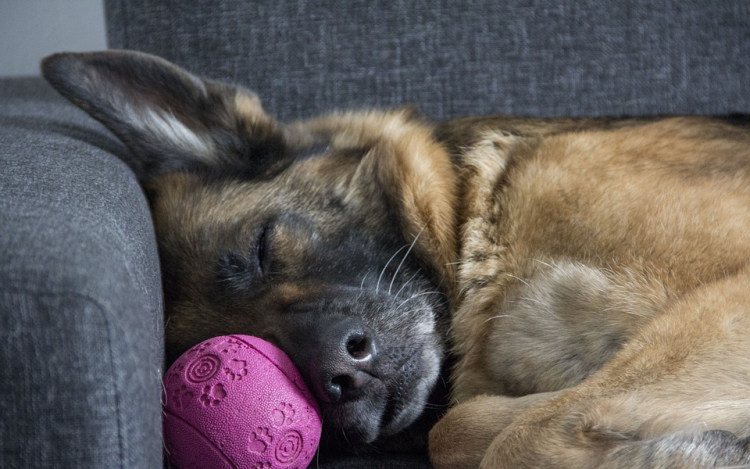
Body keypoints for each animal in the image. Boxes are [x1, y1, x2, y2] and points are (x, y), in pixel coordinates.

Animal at [43, 50, 750, 468]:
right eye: (233, 345)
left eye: (261, 247)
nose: (339, 379)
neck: (476, 212)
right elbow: (464, 429)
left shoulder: (729, 296)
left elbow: (522, 432)